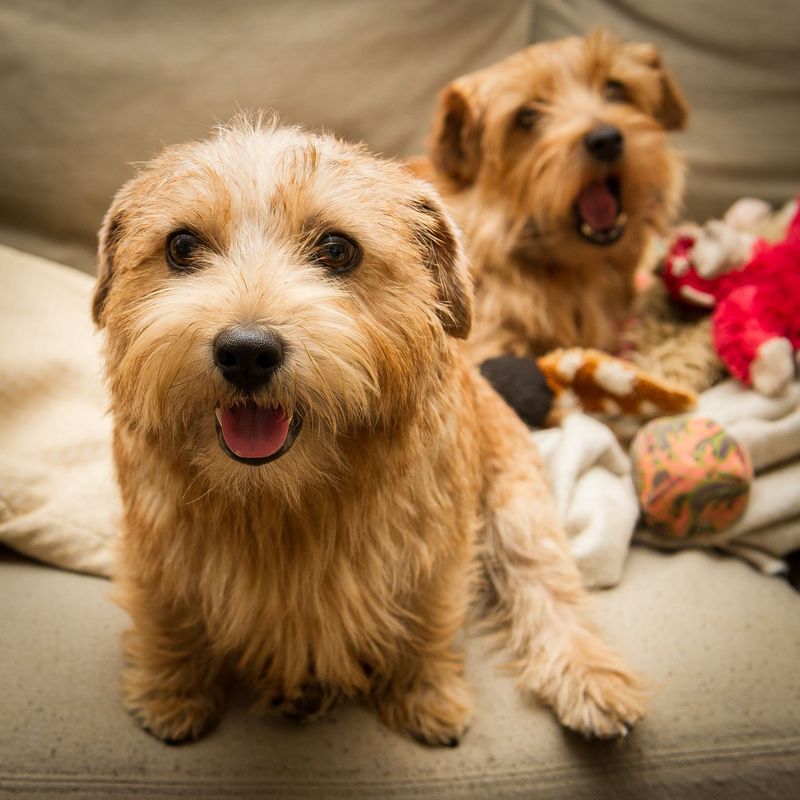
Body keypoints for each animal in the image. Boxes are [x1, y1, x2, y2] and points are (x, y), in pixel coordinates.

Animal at [94, 117, 648, 744]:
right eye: (182, 246)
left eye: (337, 249)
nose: (247, 352)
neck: (280, 502)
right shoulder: (157, 544)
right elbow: (170, 616)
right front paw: (173, 691)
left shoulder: (437, 549)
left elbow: (425, 622)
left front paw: (426, 694)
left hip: (519, 510)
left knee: (547, 586)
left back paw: (589, 677)